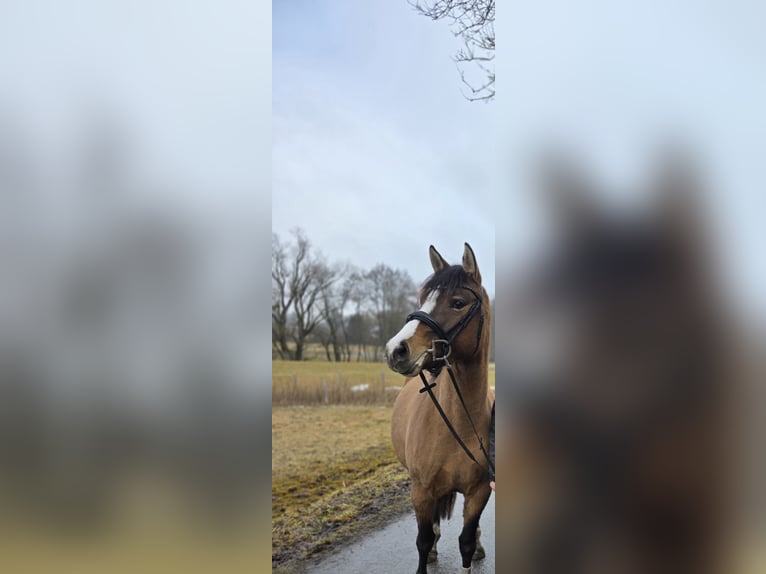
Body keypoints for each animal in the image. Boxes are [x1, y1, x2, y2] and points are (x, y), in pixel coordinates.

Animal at [386, 243, 494, 574]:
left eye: (458, 302)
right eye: (423, 299)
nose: (396, 349)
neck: (458, 422)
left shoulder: (479, 492)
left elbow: (466, 542)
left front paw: (473, 550)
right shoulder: (421, 491)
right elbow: (422, 541)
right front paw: (429, 548)